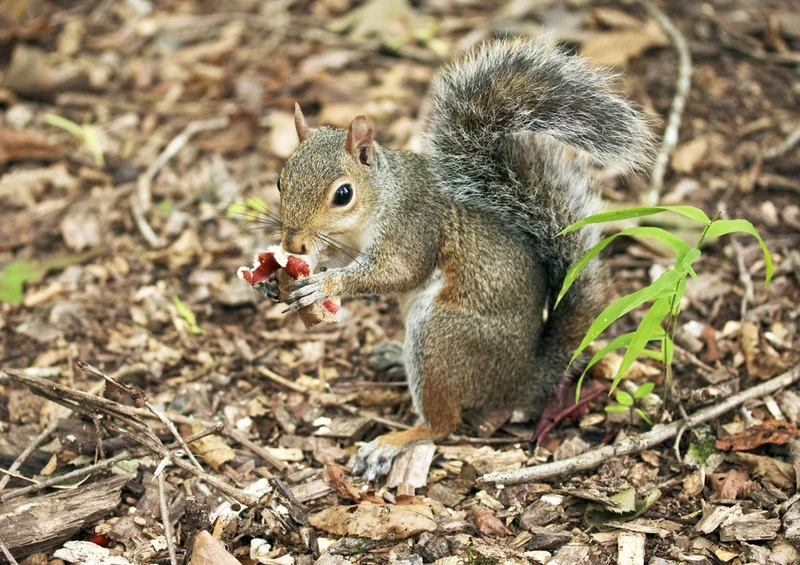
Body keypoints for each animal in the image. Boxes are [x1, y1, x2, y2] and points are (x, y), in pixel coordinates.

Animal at [273, 36, 654, 480]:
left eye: (343, 194)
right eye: (280, 181)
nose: (293, 243)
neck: (381, 197)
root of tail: (521, 378)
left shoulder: (414, 226)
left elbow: (399, 272)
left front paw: (324, 283)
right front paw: (283, 276)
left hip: (441, 337)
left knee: (442, 424)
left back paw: (391, 443)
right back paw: (392, 357)